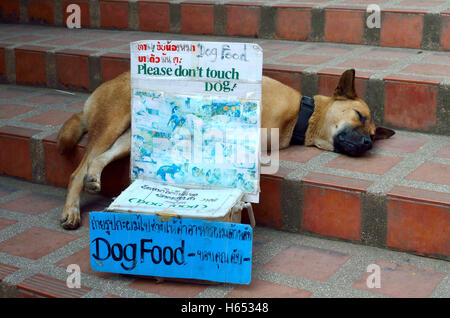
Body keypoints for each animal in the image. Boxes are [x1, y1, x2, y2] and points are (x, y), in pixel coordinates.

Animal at [57, 69, 394, 229]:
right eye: (360, 116)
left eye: (372, 134)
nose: (367, 144)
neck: (301, 115)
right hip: (113, 123)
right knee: (76, 170)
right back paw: (71, 210)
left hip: (132, 137)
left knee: (97, 160)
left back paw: (94, 179)